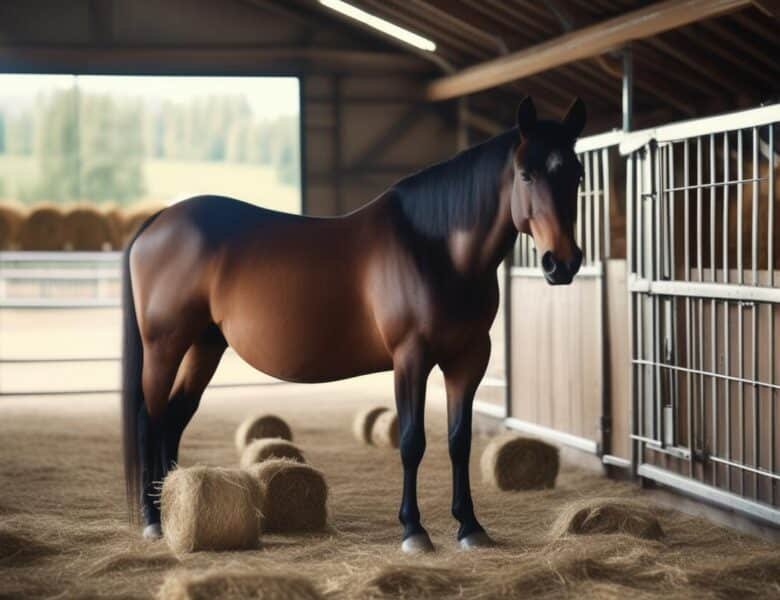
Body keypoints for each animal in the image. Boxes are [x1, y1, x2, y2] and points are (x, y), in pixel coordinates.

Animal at [121, 96, 586, 552]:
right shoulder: (410, 358)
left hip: (205, 344)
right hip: (165, 345)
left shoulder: (468, 359)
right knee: (151, 418)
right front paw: (413, 530)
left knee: (174, 417)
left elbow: (460, 441)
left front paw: (470, 526)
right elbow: (411, 441)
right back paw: (153, 520)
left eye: (578, 175)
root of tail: (156, 222)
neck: (435, 249)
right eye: (526, 174)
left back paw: (169, 501)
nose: (561, 263)